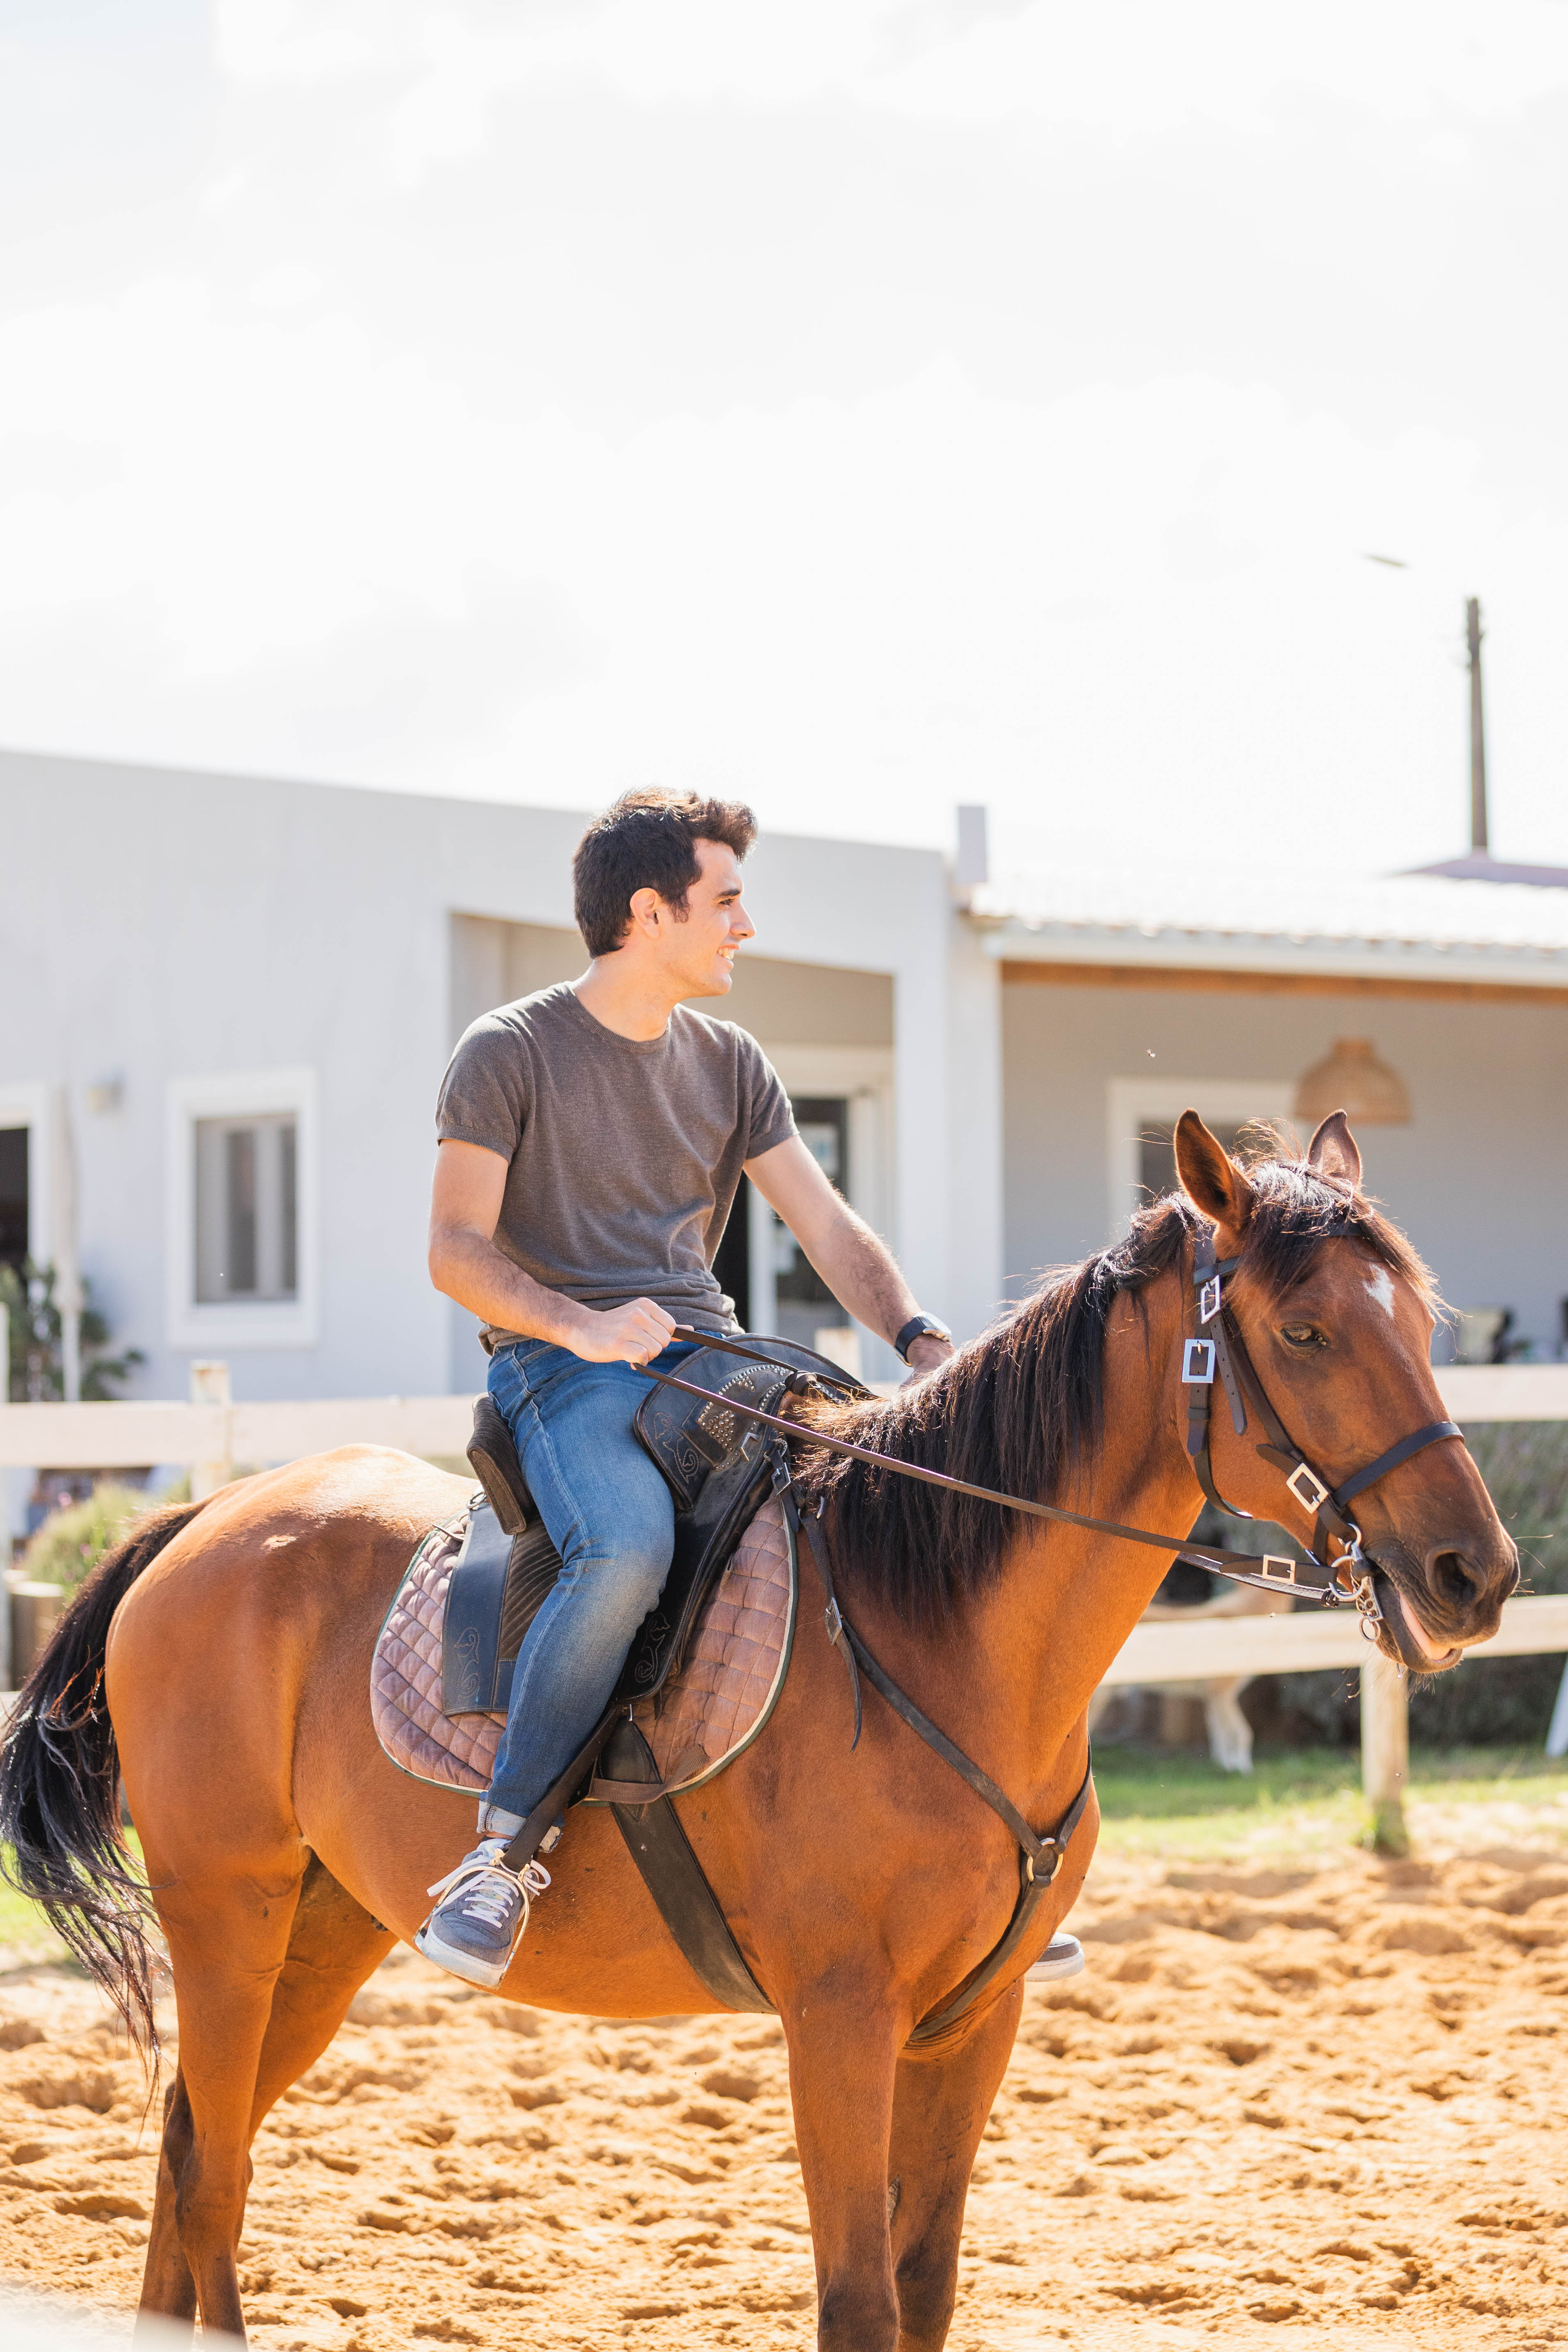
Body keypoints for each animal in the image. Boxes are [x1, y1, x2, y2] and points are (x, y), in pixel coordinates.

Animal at [0, 1115, 1523, 2333]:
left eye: (1423, 1326)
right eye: (1305, 1332)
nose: (1474, 1573)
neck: (923, 1631)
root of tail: (211, 1515)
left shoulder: (974, 2020)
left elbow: (923, 2288)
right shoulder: (838, 2018)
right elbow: (855, 2299)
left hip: (322, 1929)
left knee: (190, 2149)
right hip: (229, 1914)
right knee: (211, 2177)